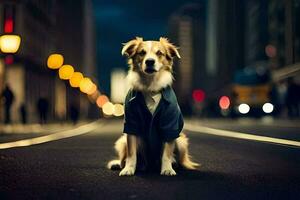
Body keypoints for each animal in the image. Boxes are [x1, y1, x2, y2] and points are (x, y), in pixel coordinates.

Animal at [107, 36, 199, 176]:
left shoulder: (170, 125)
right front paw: (128, 169)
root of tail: (150, 165)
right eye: (142, 53)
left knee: (181, 160)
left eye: (159, 53)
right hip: (122, 141)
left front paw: (167, 169)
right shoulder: (131, 125)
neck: (150, 87)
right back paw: (121, 164)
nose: (150, 61)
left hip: (181, 142)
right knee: (125, 158)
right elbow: (131, 153)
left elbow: (166, 153)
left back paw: (174, 164)